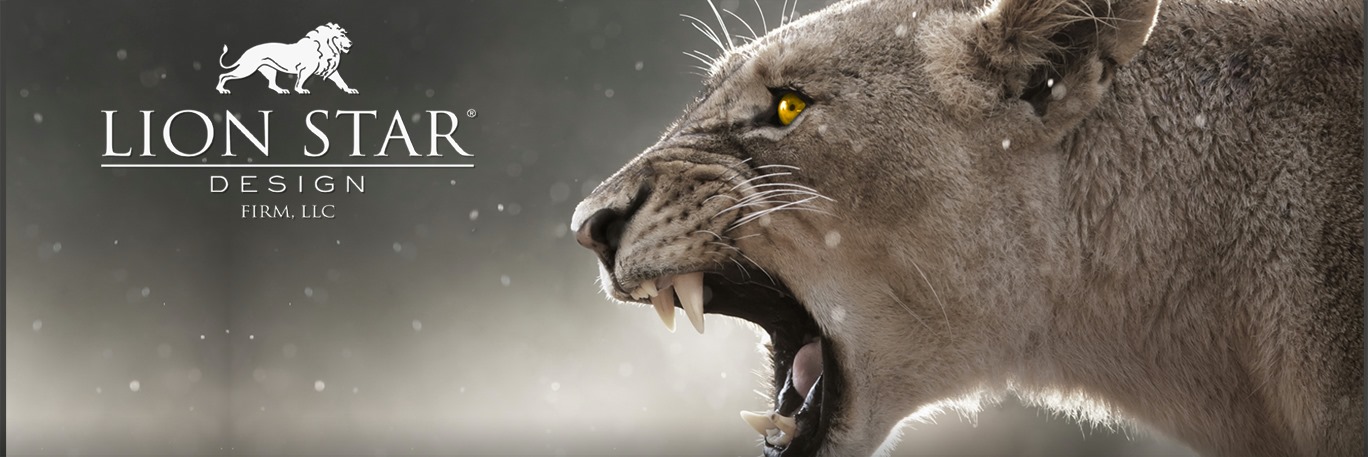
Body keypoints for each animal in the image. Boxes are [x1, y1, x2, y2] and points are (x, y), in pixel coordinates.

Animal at [215, 22, 357, 95]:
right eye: (342, 35)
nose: (351, 43)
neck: (327, 47)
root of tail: (247, 52)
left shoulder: (329, 70)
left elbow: (341, 81)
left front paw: (349, 90)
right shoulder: (305, 70)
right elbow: (300, 81)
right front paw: (300, 90)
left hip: (271, 71)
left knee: (271, 85)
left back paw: (282, 91)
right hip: (247, 69)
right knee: (223, 75)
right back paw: (222, 90)